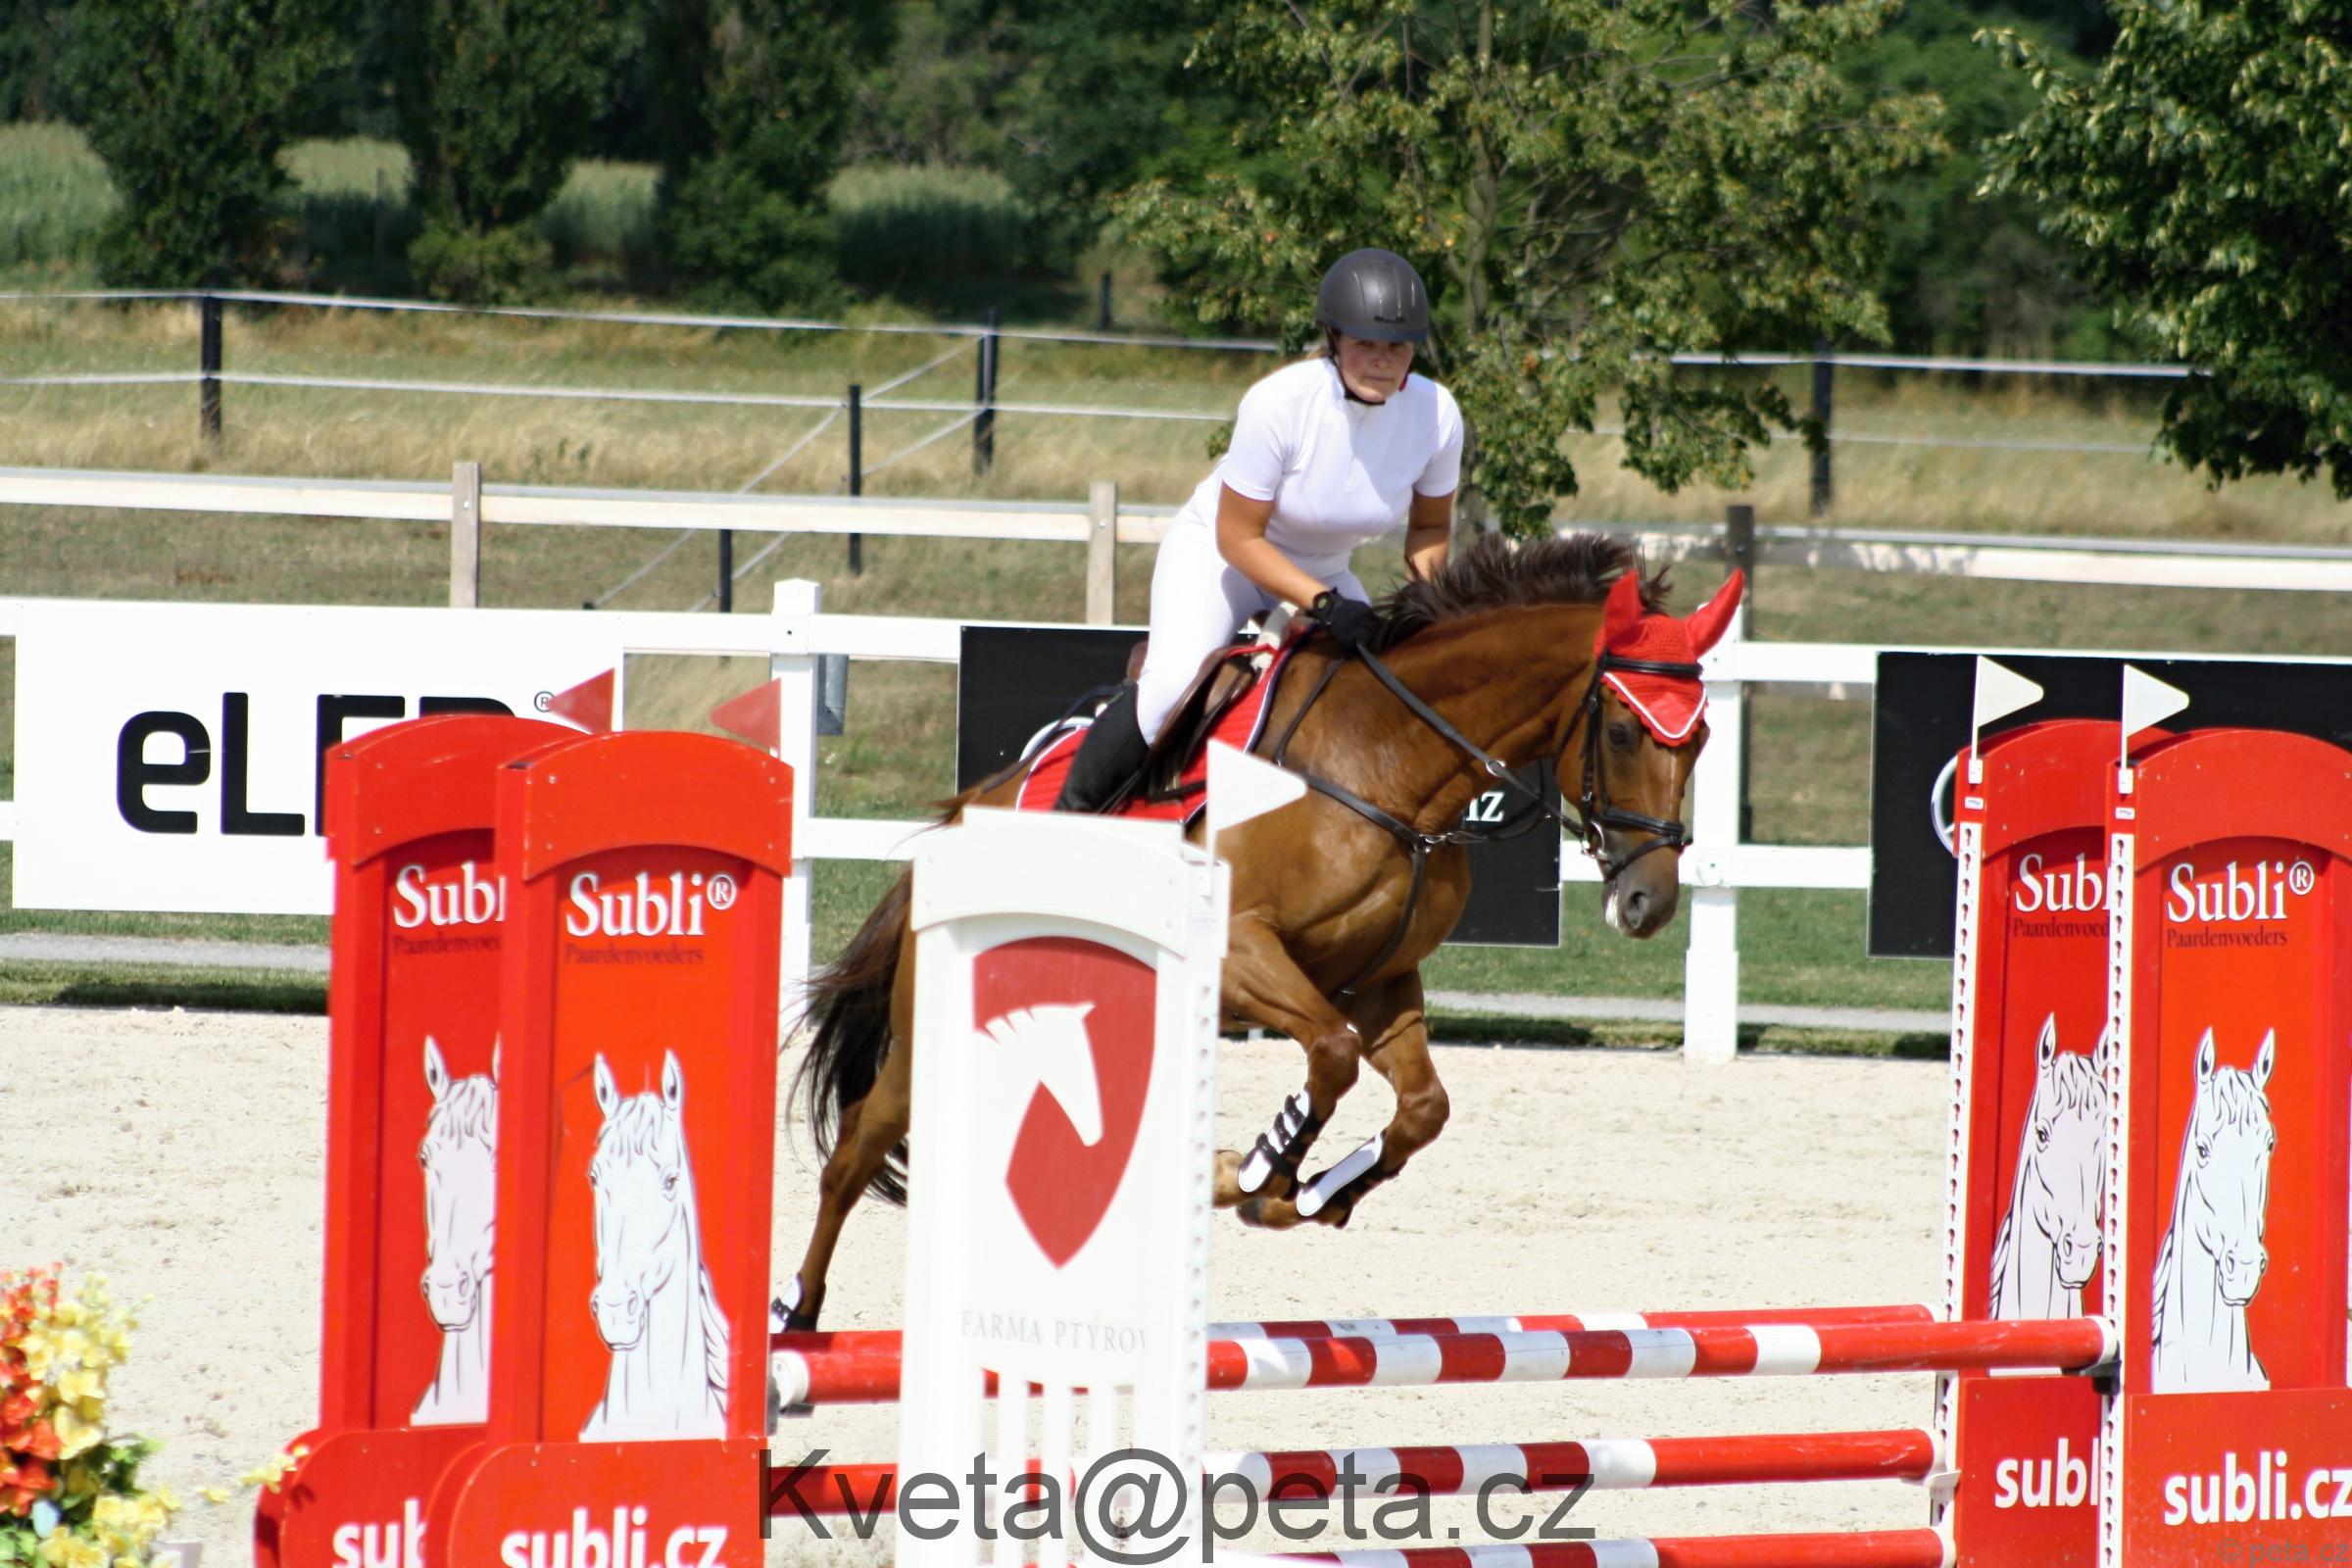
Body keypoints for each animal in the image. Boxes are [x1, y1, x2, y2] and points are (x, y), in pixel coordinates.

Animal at [779, 531, 1743, 1332]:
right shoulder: (1246, 952)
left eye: (1699, 740)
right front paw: (1262, 1169)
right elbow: (1331, 1058)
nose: (1648, 902)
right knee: (856, 1146)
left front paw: (1310, 1191)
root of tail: (960, 816)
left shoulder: (1380, 981)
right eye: (1621, 731)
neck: (1389, 768)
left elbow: (1421, 1107)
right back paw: (797, 1309)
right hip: (937, 1022)